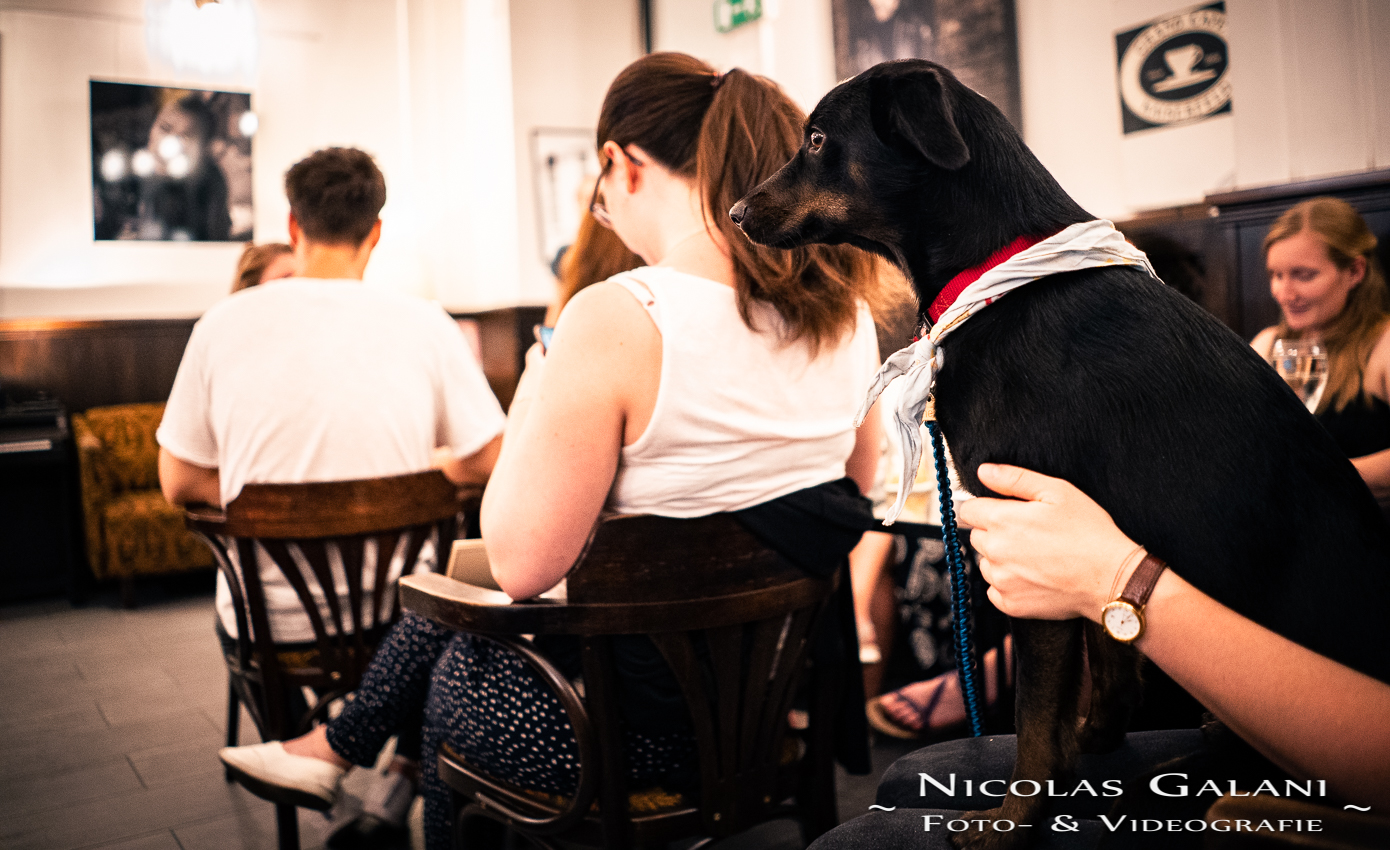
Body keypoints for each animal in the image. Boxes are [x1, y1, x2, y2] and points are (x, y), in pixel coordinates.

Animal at [730, 59, 1390, 848]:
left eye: (817, 138)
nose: (734, 212)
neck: (999, 274)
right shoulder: (1093, 545)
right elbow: (1109, 653)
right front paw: (1097, 743)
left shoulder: (1032, 546)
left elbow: (1034, 714)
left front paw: (1014, 819)